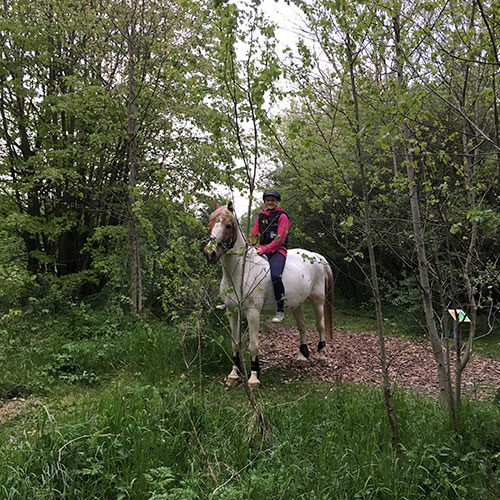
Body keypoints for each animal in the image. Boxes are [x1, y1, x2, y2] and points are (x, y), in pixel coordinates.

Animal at [201, 201, 334, 388]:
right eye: (210, 223)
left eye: (228, 226)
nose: (210, 253)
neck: (241, 272)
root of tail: (316, 256)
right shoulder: (231, 311)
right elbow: (235, 343)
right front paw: (234, 375)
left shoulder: (253, 313)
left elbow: (253, 345)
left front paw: (254, 377)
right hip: (297, 303)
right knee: (302, 326)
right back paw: (302, 355)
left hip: (317, 300)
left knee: (320, 325)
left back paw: (321, 354)